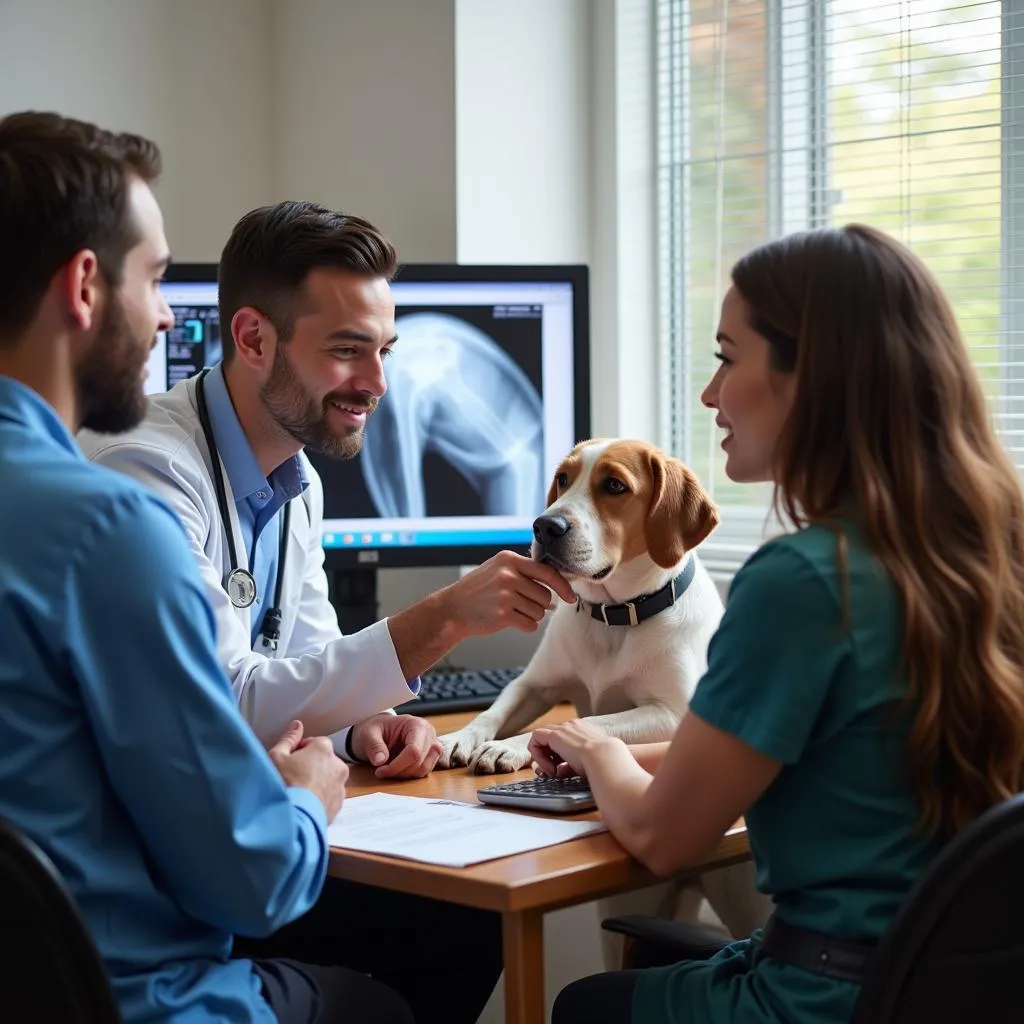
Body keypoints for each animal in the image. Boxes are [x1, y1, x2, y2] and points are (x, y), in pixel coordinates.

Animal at [436, 436, 770, 946]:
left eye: (614, 486)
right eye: (562, 479)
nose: (545, 525)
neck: (616, 615)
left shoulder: (673, 714)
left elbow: (591, 721)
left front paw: (510, 748)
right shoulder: (534, 684)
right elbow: (491, 712)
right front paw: (462, 737)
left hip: (744, 902)